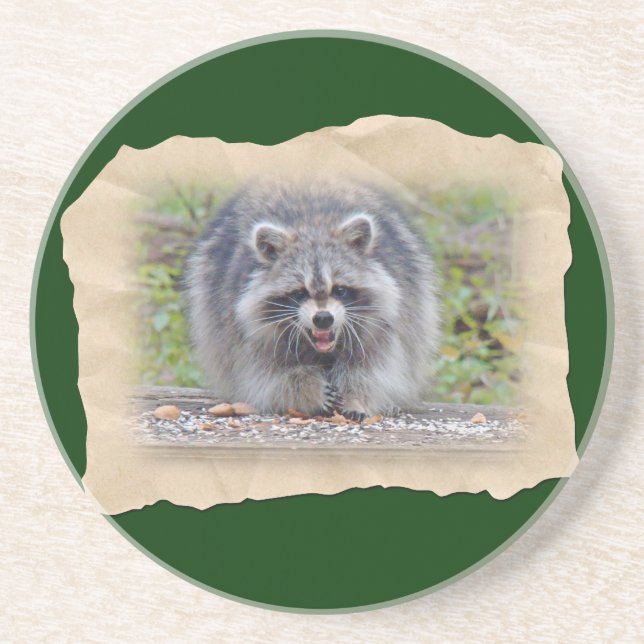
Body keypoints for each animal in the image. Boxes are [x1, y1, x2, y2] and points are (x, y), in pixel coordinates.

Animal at [184, 181, 440, 420]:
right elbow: (268, 376)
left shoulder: (381, 323)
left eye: (339, 290)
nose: (323, 319)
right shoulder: (244, 329)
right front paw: (307, 390)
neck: (313, 227)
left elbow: (370, 368)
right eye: (300, 293)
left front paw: (356, 396)